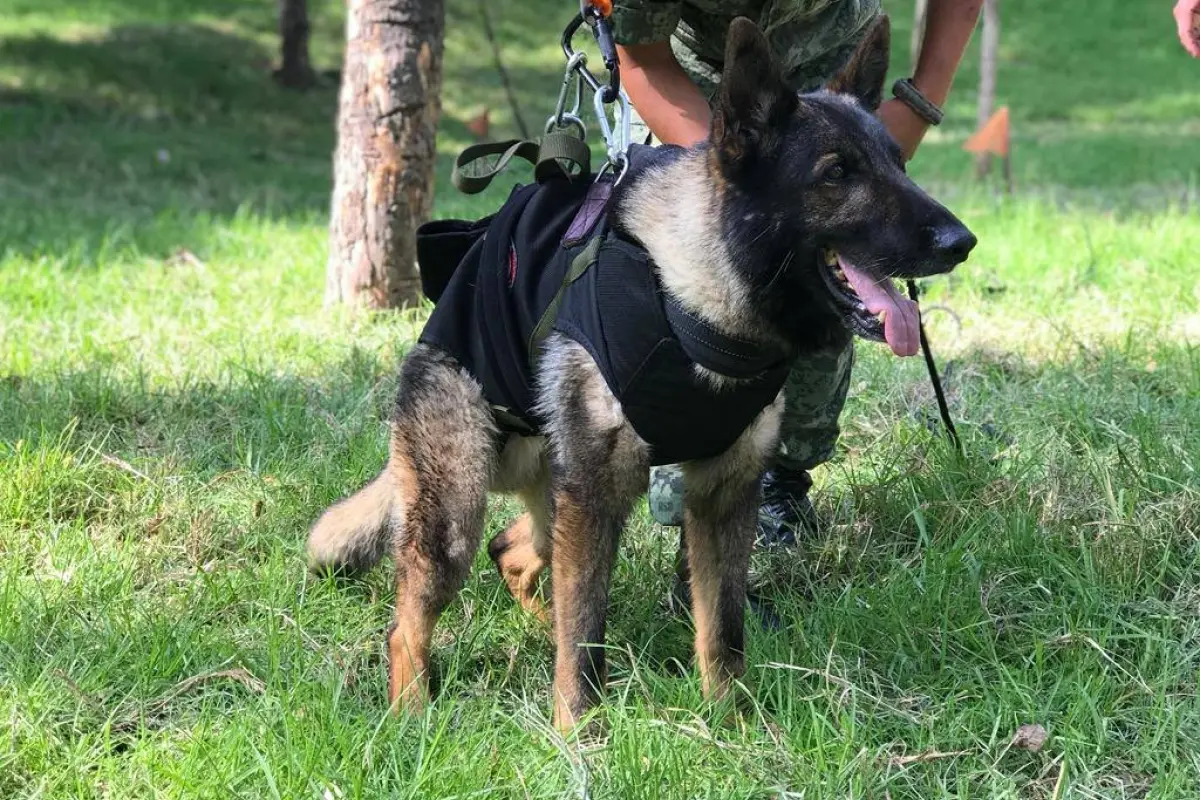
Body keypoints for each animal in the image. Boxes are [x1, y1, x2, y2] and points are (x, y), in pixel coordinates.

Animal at [309, 17, 974, 734]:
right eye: (837, 172)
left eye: (898, 164)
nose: (961, 243)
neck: (698, 301)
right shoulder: (600, 496)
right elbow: (586, 637)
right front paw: (578, 735)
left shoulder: (722, 497)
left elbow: (721, 630)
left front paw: (731, 722)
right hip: (461, 512)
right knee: (413, 622)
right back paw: (413, 713)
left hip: (554, 503)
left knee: (512, 551)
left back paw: (536, 631)